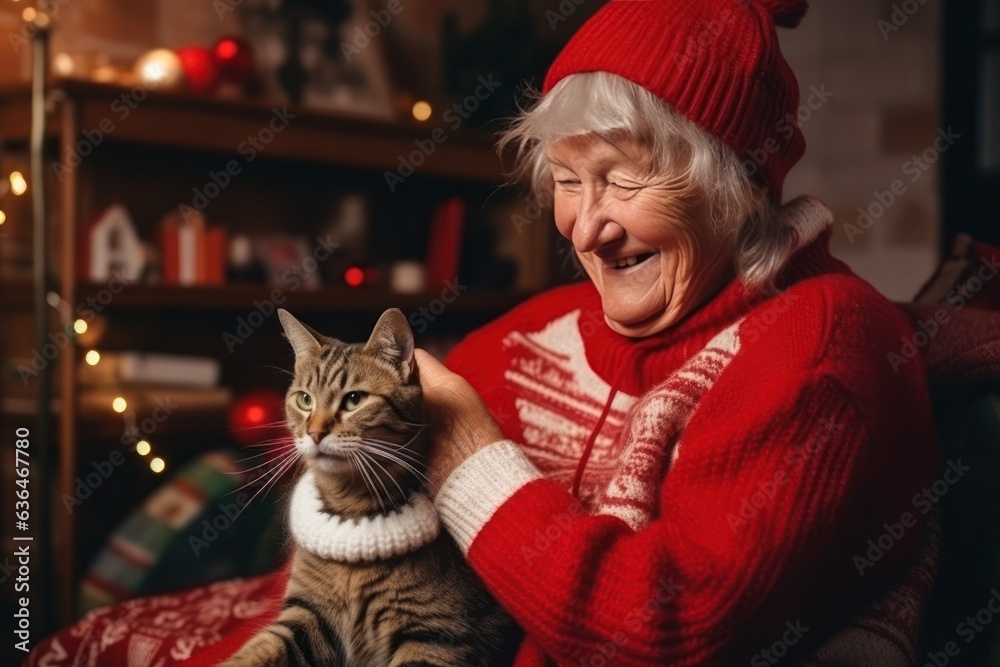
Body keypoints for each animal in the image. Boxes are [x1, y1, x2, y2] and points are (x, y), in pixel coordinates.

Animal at [223, 310, 520, 667]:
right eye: (304, 400)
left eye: (354, 400)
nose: (314, 433)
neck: (351, 509)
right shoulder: (306, 615)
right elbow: (258, 650)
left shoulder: (441, 636)